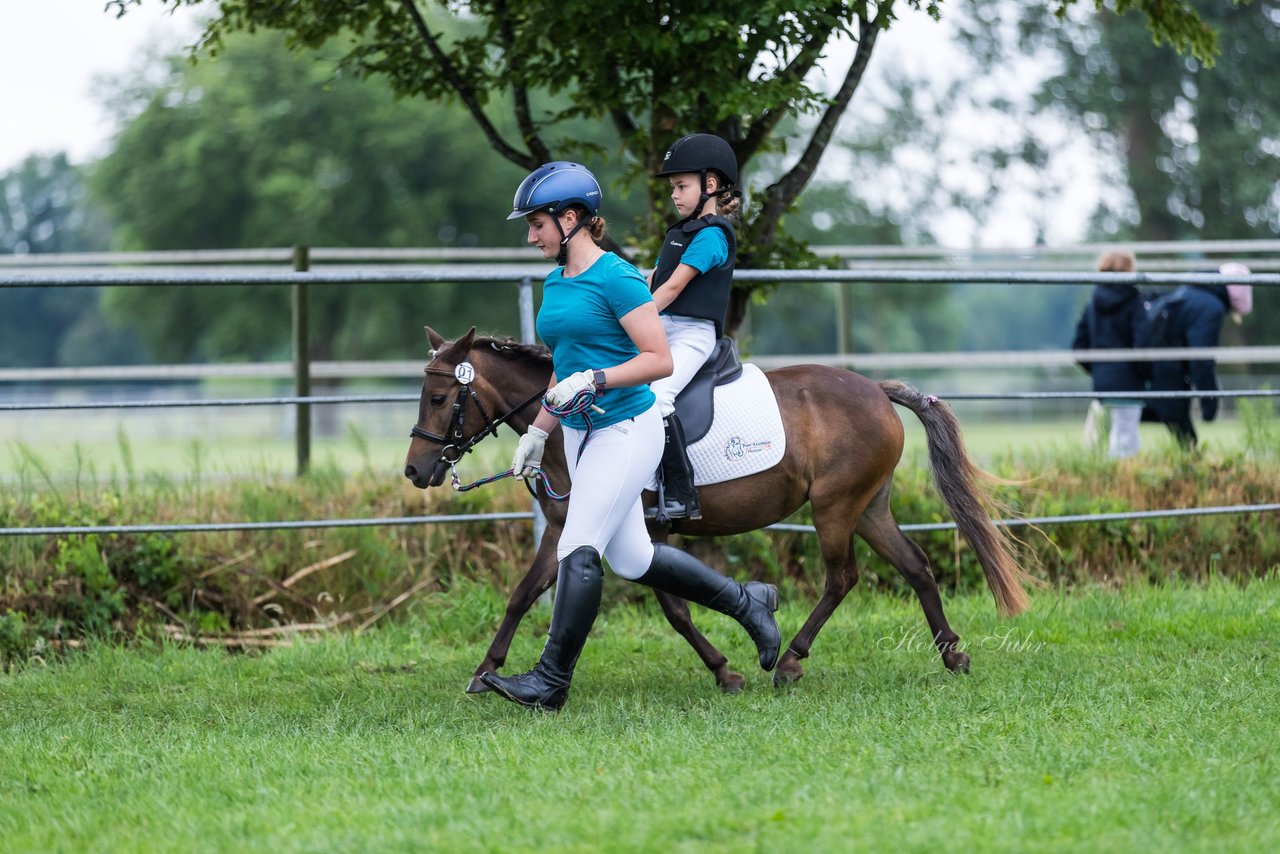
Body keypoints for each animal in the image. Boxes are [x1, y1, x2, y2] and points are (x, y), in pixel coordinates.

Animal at [404, 327, 1034, 696]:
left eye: (438, 398)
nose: (415, 471)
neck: (576, 423)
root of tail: (877, 389)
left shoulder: (635, 529)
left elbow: (675, 609)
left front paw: (726, 670)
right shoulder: (565, 527)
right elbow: (523, 595)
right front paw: (485, 672)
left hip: (835, 506)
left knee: (843, 577)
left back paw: (790, 661)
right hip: (868, 506)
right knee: (915, 566)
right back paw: (953, 657)